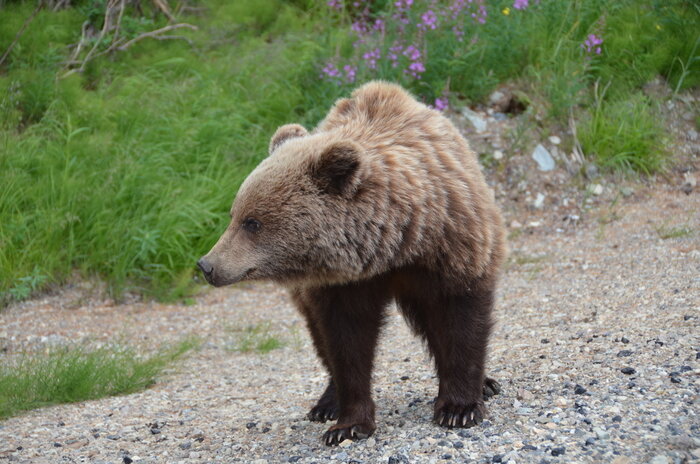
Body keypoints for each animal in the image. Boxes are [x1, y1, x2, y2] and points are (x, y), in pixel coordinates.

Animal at [197, 80, 504, 446]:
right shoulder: (340, 285)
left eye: (252, 222)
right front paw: (347, 424)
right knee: (320, 338)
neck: (394, 244)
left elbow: (458, 319)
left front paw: (459, 408)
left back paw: (486, 384)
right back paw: (326, 404)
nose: (207, 265)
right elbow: (347, 343)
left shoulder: (449, 248)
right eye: (235, 215)